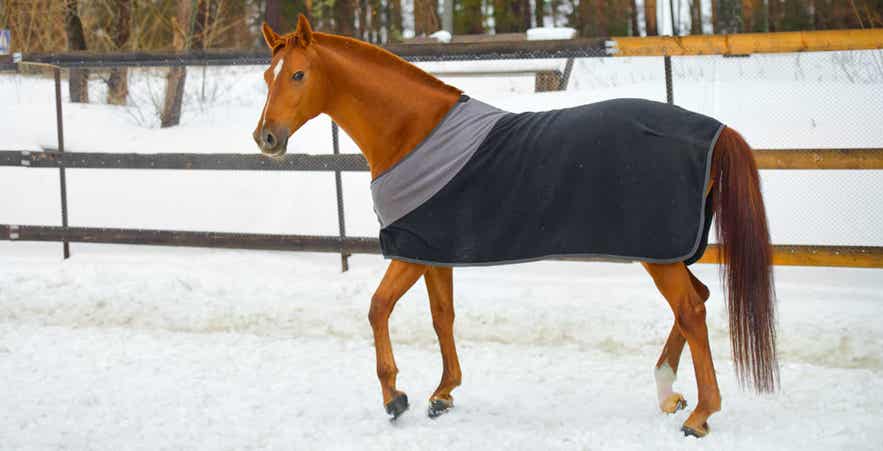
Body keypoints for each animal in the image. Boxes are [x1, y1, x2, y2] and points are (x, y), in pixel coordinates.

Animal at [252, 15, 777, 438]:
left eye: (298, 74)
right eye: (266, 76)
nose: (266, 138)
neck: (412, 134)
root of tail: (713, 130)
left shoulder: (408, 249)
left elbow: (378, 308)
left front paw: (394, 397)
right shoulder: (433, 251)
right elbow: (442, 316)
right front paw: (443, 393)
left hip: (657, 251)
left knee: (691, 309)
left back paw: (700, 415)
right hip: (664, 251)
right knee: (696, 301)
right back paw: (668, 393)